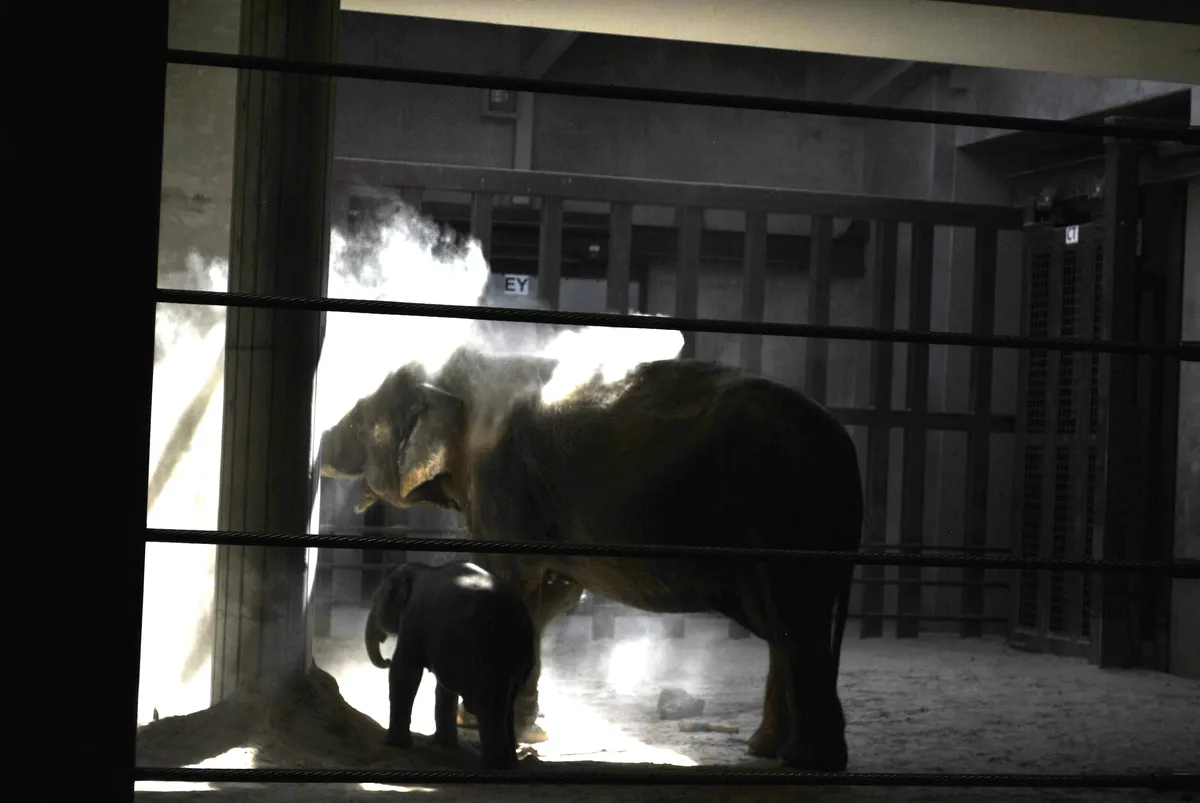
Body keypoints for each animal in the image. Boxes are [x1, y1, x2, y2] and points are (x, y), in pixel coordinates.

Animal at [364, 559, 535, 770]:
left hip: (489, 656)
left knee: (487, 709)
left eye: (374, 600)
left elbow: (405, 672)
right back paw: (510, 764)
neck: (419, 569)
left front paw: (390, 744)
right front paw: (440, 744)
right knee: (508, 706)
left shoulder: (414, 619)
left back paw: (493, 767)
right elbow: (442, 688)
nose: (385, 660)